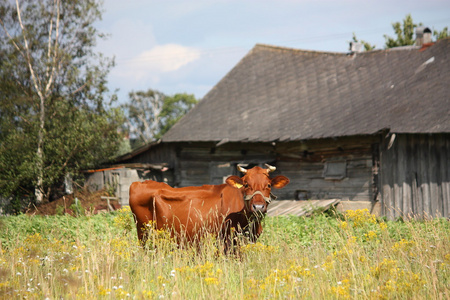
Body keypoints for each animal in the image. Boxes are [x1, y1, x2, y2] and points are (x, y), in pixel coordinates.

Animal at [128, 164, 290, 251]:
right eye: (246, 184)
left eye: (268, 185)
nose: (258, 206)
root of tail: (139, 183)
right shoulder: (226, 242)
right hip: (144, 235)